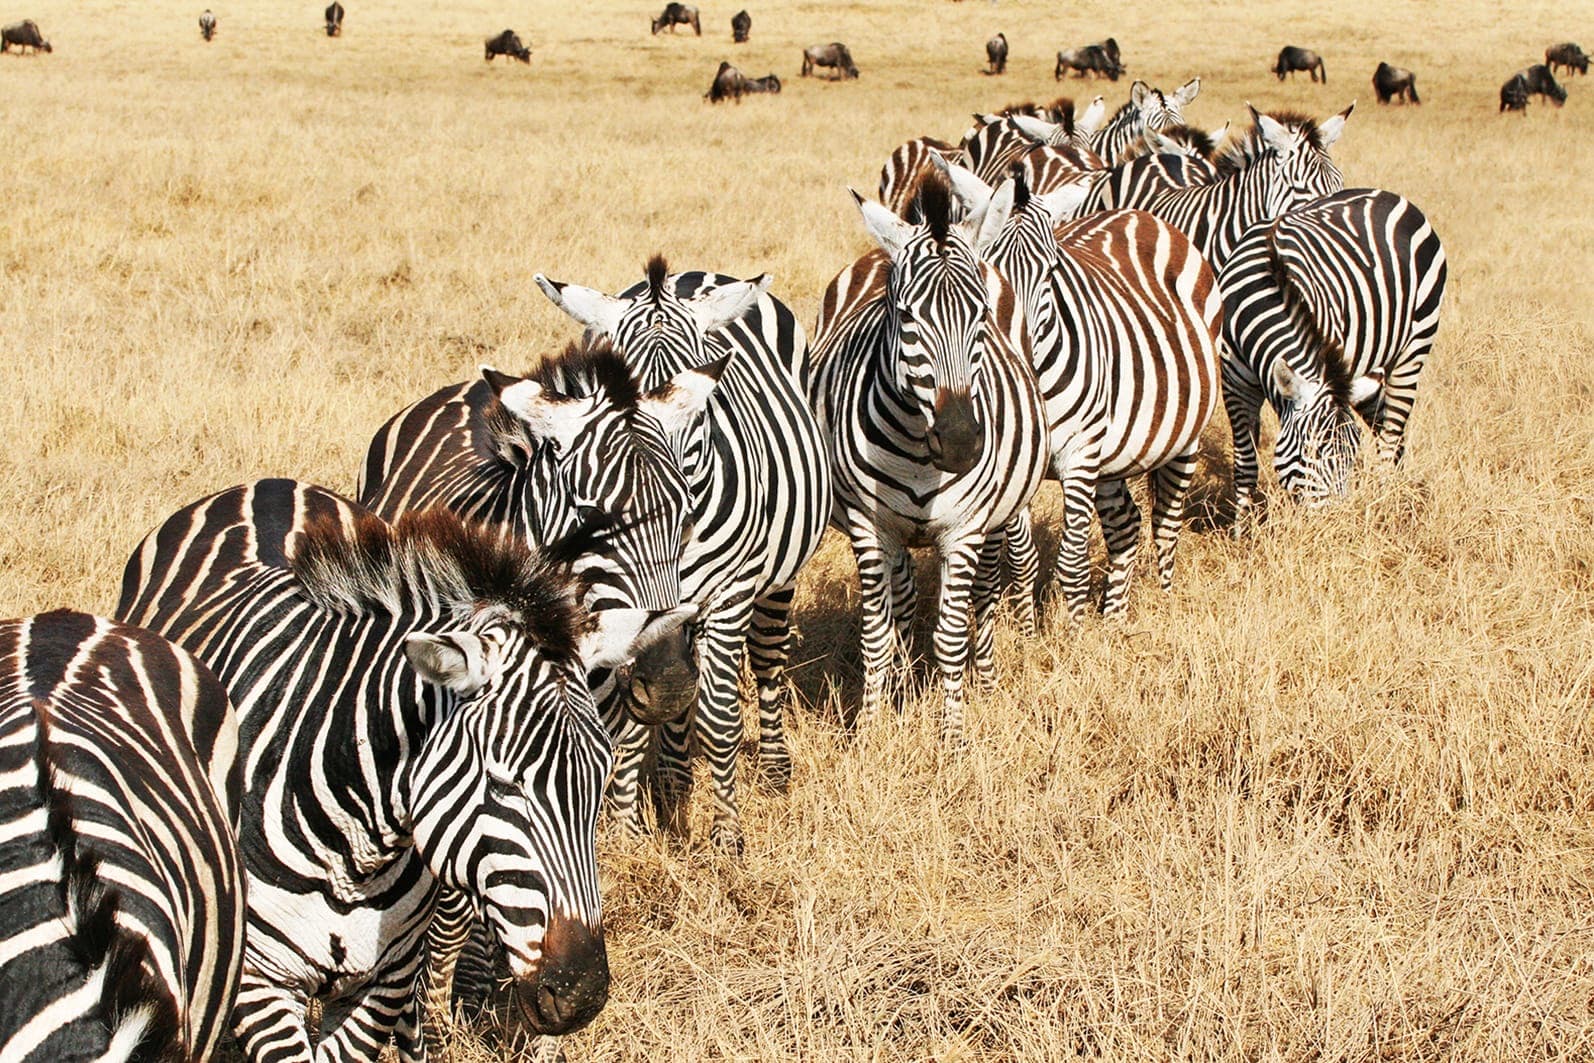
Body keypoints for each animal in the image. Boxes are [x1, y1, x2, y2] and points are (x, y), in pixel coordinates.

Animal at [117, 480, 691, 1060]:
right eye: (503, 784)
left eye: (598, 779)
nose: (581, 995)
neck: (353, 851)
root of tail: (266, 486)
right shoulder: (259, 983)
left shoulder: (387, 978)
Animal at [533, 256, 832, 855]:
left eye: (697, 413)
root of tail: (696, 274)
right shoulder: (607, 602)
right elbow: (626, 718)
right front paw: (625, 832)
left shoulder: (729, 595)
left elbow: (718, 718)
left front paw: (726, 838)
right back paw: (673, 777)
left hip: (776, 581)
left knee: (765, 661)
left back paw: (773, 769)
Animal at [808, 179, 1049, 739]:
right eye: (906, 316)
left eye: (980, 314)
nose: (961, 442)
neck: (919, 452)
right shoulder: (870, 526)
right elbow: (878, 632)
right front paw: (873, 729)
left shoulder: (965, 528)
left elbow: (951, 634)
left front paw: (955, 736)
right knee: (904, 597)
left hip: (1004, 512)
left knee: (991, 591)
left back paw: (987, 681)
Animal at [936, 159, 1222, 618]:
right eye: (986, 267)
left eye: (1052, 271)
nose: (1018, 343)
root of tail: (1138, 215)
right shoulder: (1022, 464)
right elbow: (1022, 558)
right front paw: (1030, 626)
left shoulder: (1080, 454)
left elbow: (1072, 560)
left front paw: (1073, 629)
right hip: (1112, 457)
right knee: (1127, 525)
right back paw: (1114, 615)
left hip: (1183, 435)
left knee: (1165, 523)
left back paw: (1162, 599)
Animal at [1219, 189, 1447, 519]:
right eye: (1311, 452)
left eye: (1351, 455)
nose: (1337, 521)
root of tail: (1392, 197)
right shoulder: (1234, 385)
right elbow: (1245, 464)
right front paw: (1244, 526)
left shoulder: (1331, 358)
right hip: (1366, 378)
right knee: (1385, 427)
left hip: (1413, 348)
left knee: (1391, 435)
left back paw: (1387, 500)